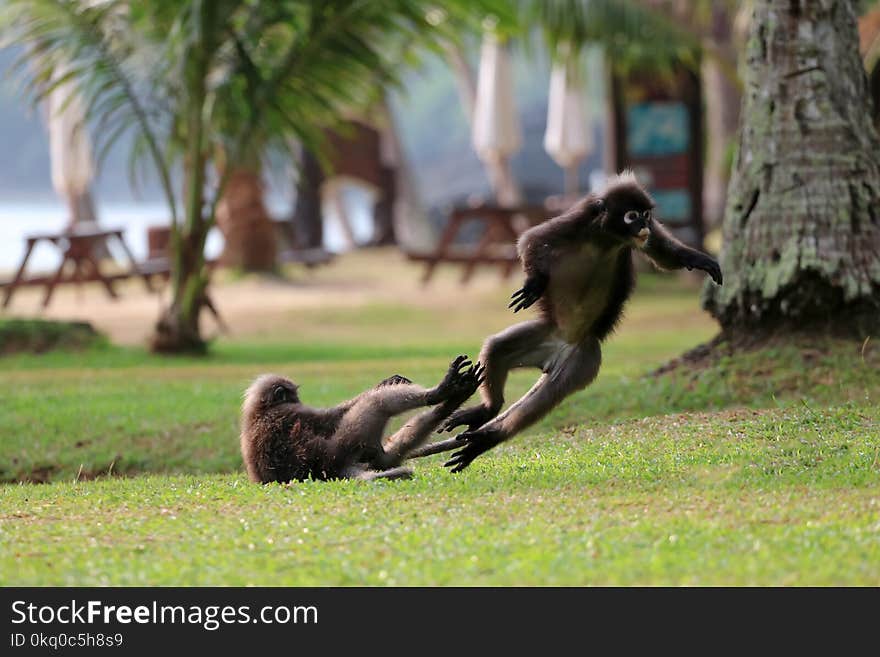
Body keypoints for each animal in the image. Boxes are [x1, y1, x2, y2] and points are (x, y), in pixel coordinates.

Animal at [241, 354, 484, 482]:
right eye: (294, 395)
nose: (298, 398)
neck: (259, 411)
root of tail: (332, 471)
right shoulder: (291, 411)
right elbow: (330, 418)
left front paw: (387, 381)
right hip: (343, 449)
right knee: (377, 403)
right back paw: (440, 392)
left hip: (368, 456)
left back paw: (452, 402)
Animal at [422, 172, 724, 474]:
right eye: (632, 215)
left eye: (646, 215)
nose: (643, 225)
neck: (606, 238)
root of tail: (560, 348)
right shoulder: (578, 221)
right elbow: (531, 239)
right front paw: (535, 282)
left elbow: (662, 254)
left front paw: (698, 258)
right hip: (544, 335)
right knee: (497, 348)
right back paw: (487, 411)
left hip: (582, 361)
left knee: (546, 395)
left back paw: (487, 437)